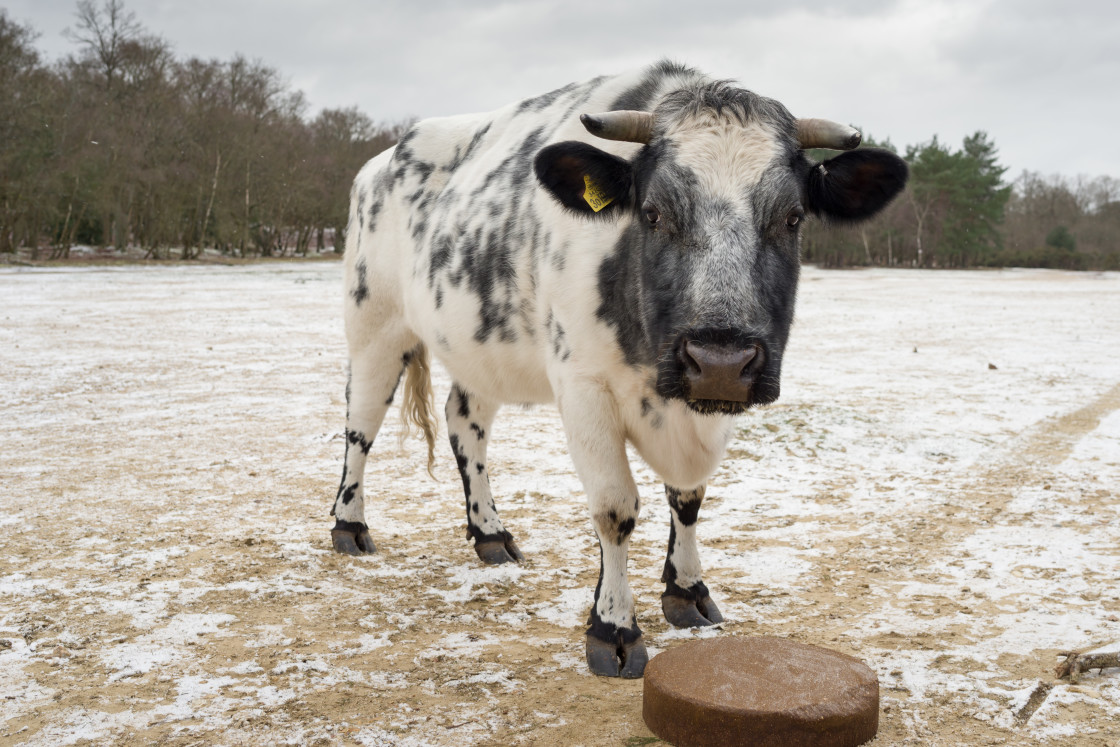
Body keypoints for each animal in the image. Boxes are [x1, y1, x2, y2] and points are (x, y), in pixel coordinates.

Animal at [327, 61, 904, 680]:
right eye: (652, 213)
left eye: (793, 218)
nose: (720, 361)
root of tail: (382, 160)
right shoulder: (582, 389)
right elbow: (614, 508)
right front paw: (614, 628)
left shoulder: (705, 407)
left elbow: (689, 498)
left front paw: (686, 590)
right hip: (374, 325)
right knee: (360, 424)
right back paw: (350, 525)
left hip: (479, 348)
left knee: (464, 423)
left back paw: (490, 534)